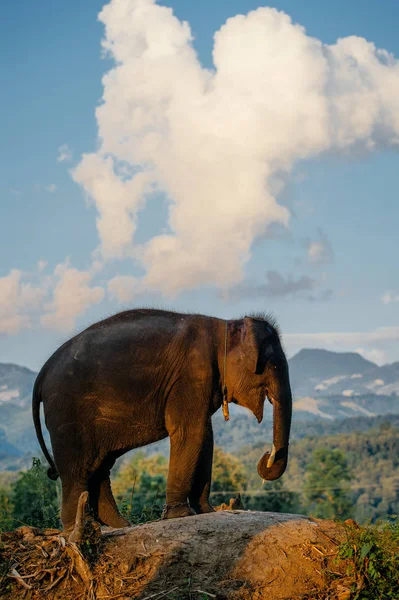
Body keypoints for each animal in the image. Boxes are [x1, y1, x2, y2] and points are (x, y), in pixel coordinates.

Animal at [32, 310, 292, 528]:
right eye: (272, 365)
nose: (266, 456)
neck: (225, 326)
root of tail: (42, 374)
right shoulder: (191, 376)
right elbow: (190, 432)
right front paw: (182, 515)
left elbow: (205, 436)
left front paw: (205, 511)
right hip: (66, 413)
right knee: (77, 468)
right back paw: (82, 526)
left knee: (100, 465)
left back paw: (118, 525)